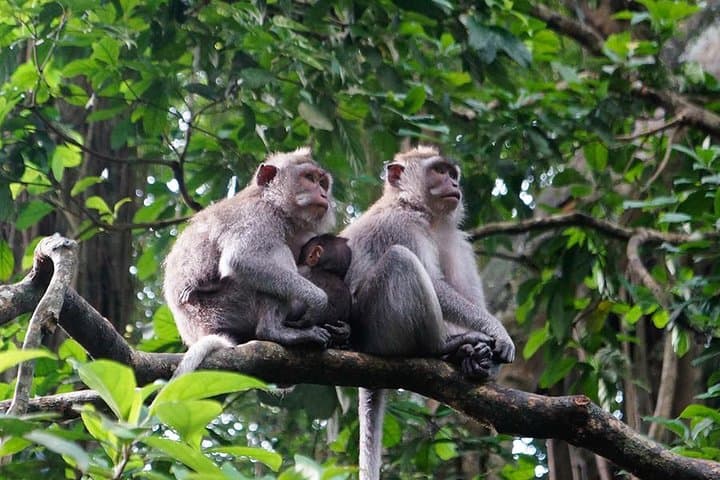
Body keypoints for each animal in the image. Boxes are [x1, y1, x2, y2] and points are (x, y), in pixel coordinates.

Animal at [164, 147, 338, 375]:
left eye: (322, 182)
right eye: (309, 178)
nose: (324, 195)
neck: (274, 205)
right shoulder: (257, 215)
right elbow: (242, 260)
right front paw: (318, 300)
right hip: (223, 308)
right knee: (277, 254)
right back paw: (274, 331)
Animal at [340, 145, 515, 480]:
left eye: (452, 173)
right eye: (438, 171)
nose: (455, 184)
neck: (420, 210)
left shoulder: (453, 238)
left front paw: (483, 359)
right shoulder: (400, 224)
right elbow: (433, 282)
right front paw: (494, 331)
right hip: (376, 327)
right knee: (400, 259)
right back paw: (441, 347)